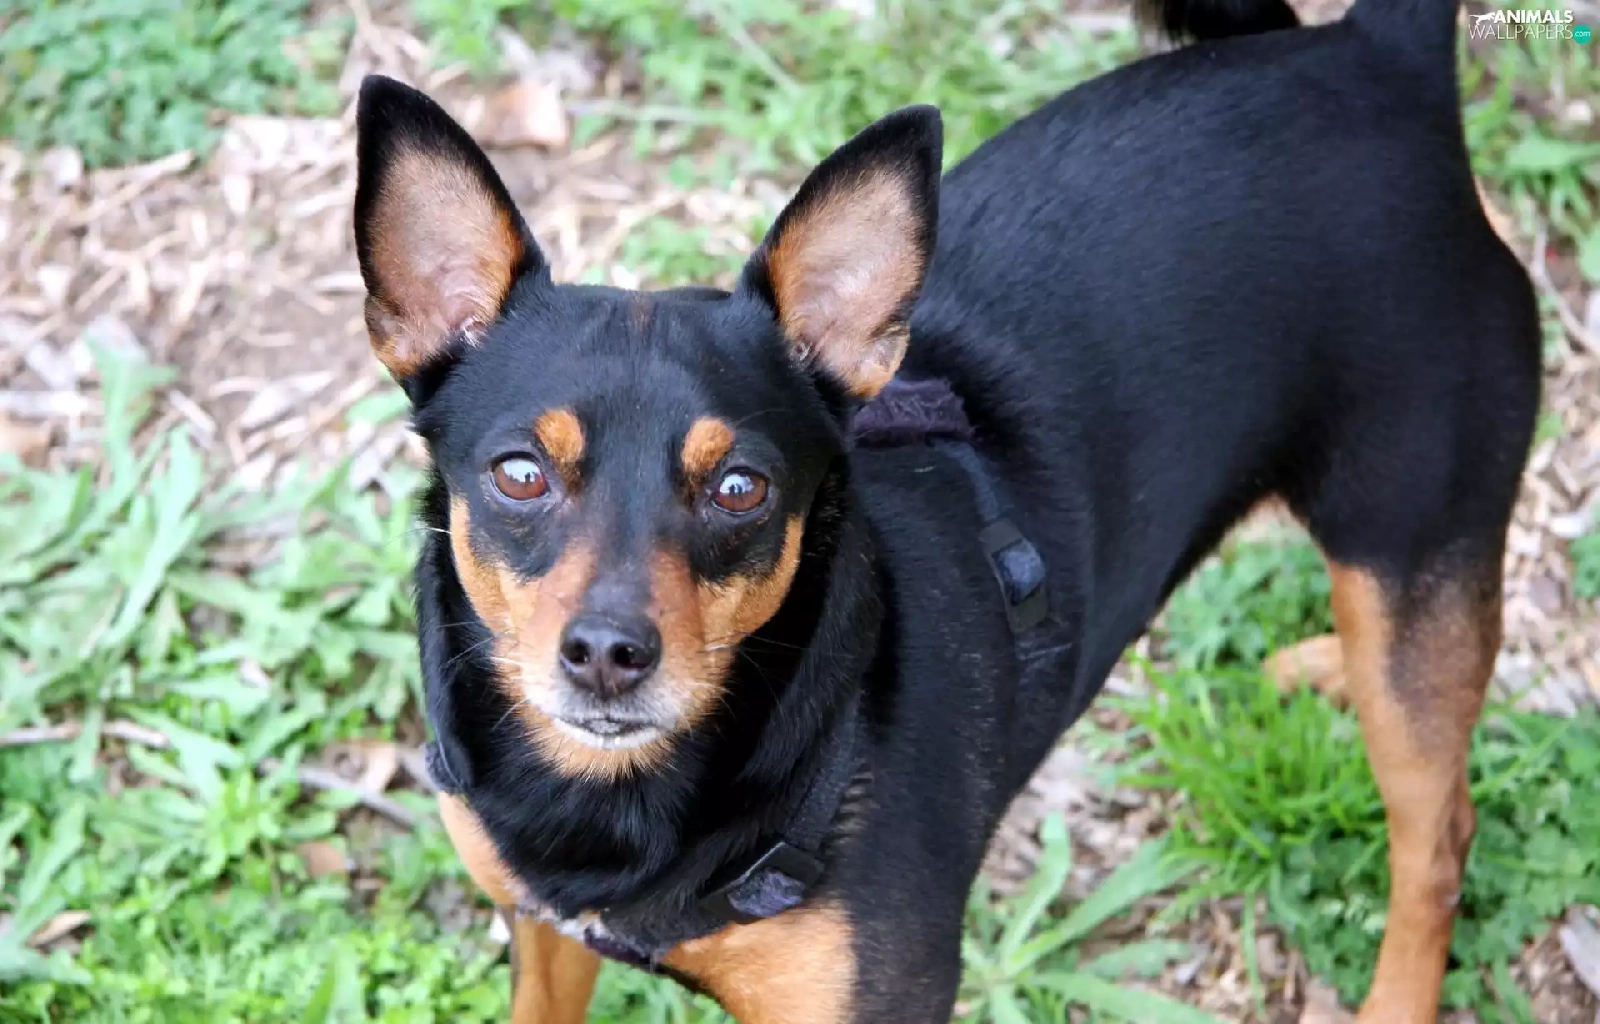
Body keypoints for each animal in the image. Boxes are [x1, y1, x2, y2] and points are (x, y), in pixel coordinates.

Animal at [350, 0, 1540, 1020]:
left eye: (741, 488)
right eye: (518, 473)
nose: (607, 655)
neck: (615, 808)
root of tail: (1378, 58)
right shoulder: (541, 930)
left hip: (1412, 544)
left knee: (1439, 837)